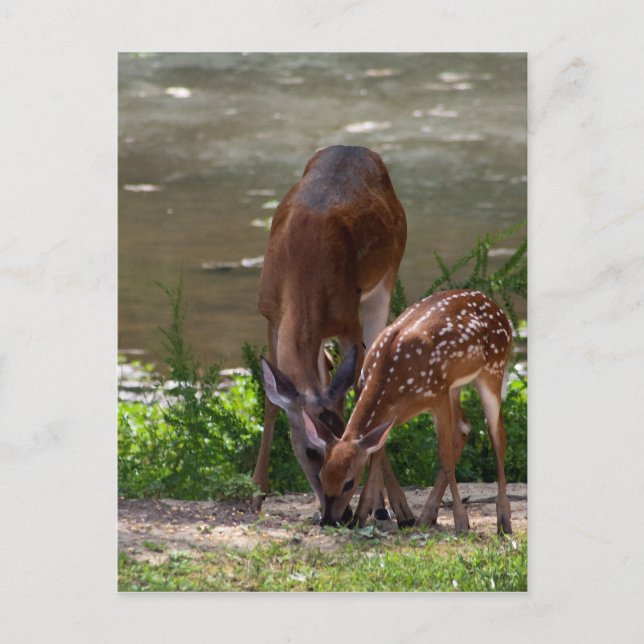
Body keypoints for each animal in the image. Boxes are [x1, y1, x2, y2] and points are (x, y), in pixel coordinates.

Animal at [253, 144, 416, 527]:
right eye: (311, 451)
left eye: (342, 434)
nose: (335, 515)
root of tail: (356, 148)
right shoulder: (270, 313)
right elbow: (271, 401)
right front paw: (256, 493)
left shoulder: (347, 320)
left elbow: (360, 392)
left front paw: (380, 505)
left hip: (385, 281)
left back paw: (389, 506)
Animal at [303, 289, 514, 534]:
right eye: (321, 476)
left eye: (349, 483)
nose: (328, 520)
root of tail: (498, 308)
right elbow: (376, 453)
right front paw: (360, 516)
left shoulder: (437, 396)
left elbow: (444, 456)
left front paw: (461, 522)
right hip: (455, 386)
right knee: (464, 429)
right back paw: (426, 516)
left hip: (493, 369)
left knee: (497, 433)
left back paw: (503, 520)